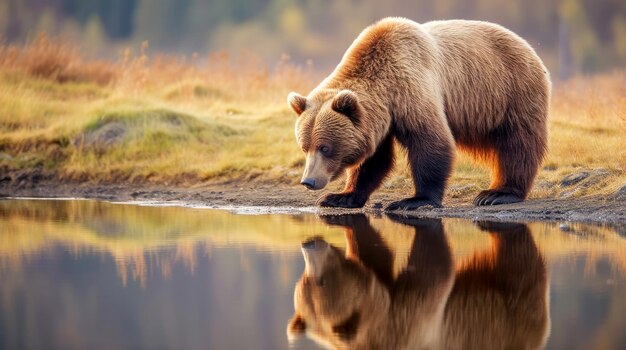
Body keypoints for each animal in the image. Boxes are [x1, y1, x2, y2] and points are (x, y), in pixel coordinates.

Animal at [288, 17, 544, 209]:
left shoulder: (411, 90)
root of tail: (526, 44)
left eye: (325, 147)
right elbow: (375, 160)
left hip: (509, 92)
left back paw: (497, 193)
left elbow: (430, 142)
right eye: (305, 147)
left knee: (517, 144)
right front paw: (341, 196)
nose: (308, 181)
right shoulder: (378, 121)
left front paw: (415, 200)